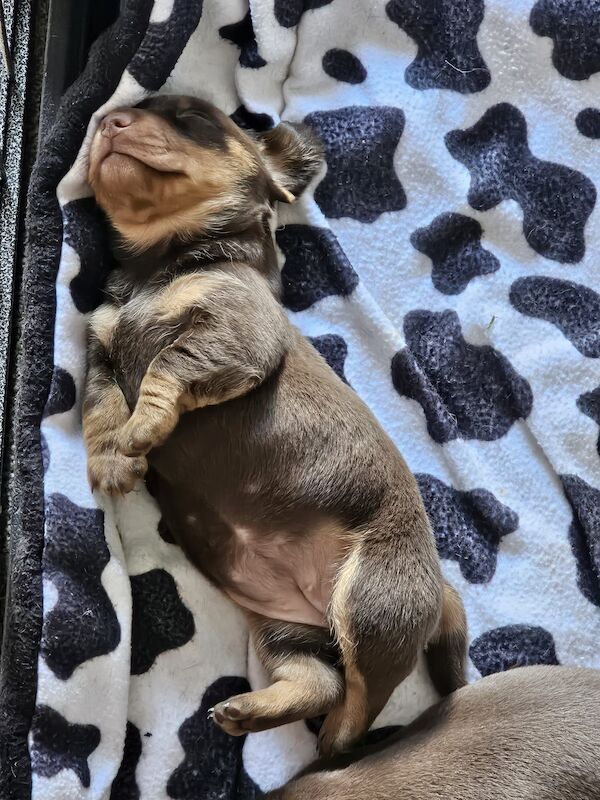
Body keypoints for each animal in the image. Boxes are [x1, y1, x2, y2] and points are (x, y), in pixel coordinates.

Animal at [83, 95, 468, 756]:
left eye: (193, 118)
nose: (109, 121)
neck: (157, 267)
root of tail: (437, 587)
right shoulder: (104, 350)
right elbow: (103, 406)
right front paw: (113, 457)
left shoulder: (233, 331)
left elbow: (166, 367)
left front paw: (142, 431)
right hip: (286, 631)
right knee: (321, 682)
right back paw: (247, 712)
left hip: (371, 602)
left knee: (363, 696)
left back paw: (335, 746)